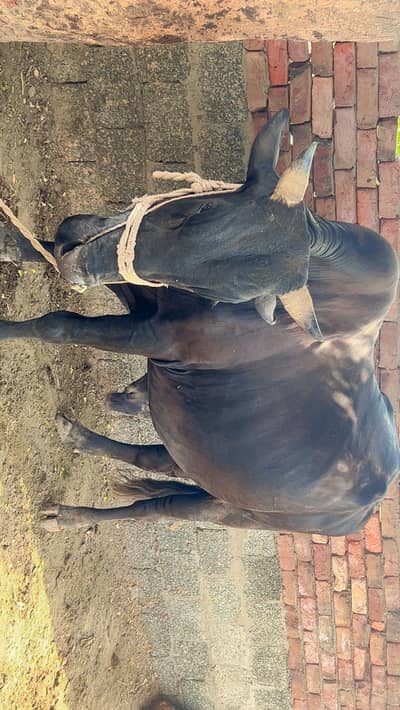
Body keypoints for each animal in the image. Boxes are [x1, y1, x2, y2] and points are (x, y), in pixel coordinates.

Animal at [0, 109, 398, 536]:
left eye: (230, 294)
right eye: (195, 212)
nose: (80, 261)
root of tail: (367, 506)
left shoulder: (153, 336)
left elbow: (58, 325)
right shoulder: (134, 282)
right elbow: (40, 252)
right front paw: (12, 244)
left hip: (228, 509)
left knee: (155, 508)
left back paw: (70, 515)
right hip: (194, 462)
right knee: (151, 459)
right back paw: (82, 437)